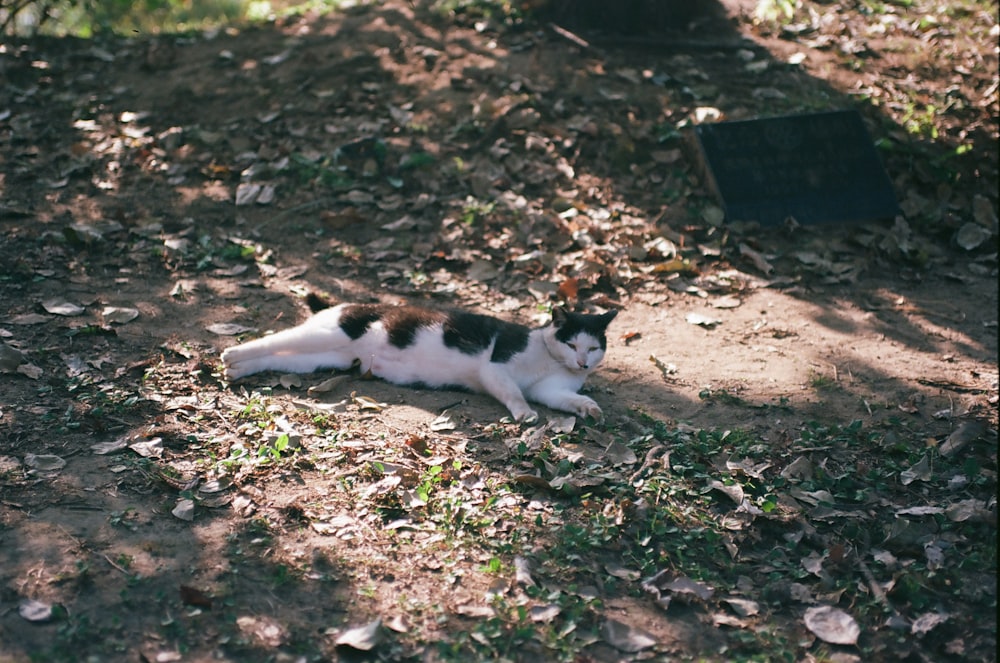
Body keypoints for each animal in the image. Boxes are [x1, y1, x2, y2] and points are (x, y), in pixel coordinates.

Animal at [221, 300, 616, 422]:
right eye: (572, 343)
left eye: (593, 347)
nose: (583, 363)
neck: (551, 360)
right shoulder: (496, 369)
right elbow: (514, 394)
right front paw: (524, 414)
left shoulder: (550, 390)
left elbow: (569, 398)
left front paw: (589, 408)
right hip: (327, 334)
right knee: (275, 339)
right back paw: (231, 355)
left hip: (323, 358)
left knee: (280, 357)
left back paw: (238, 370)